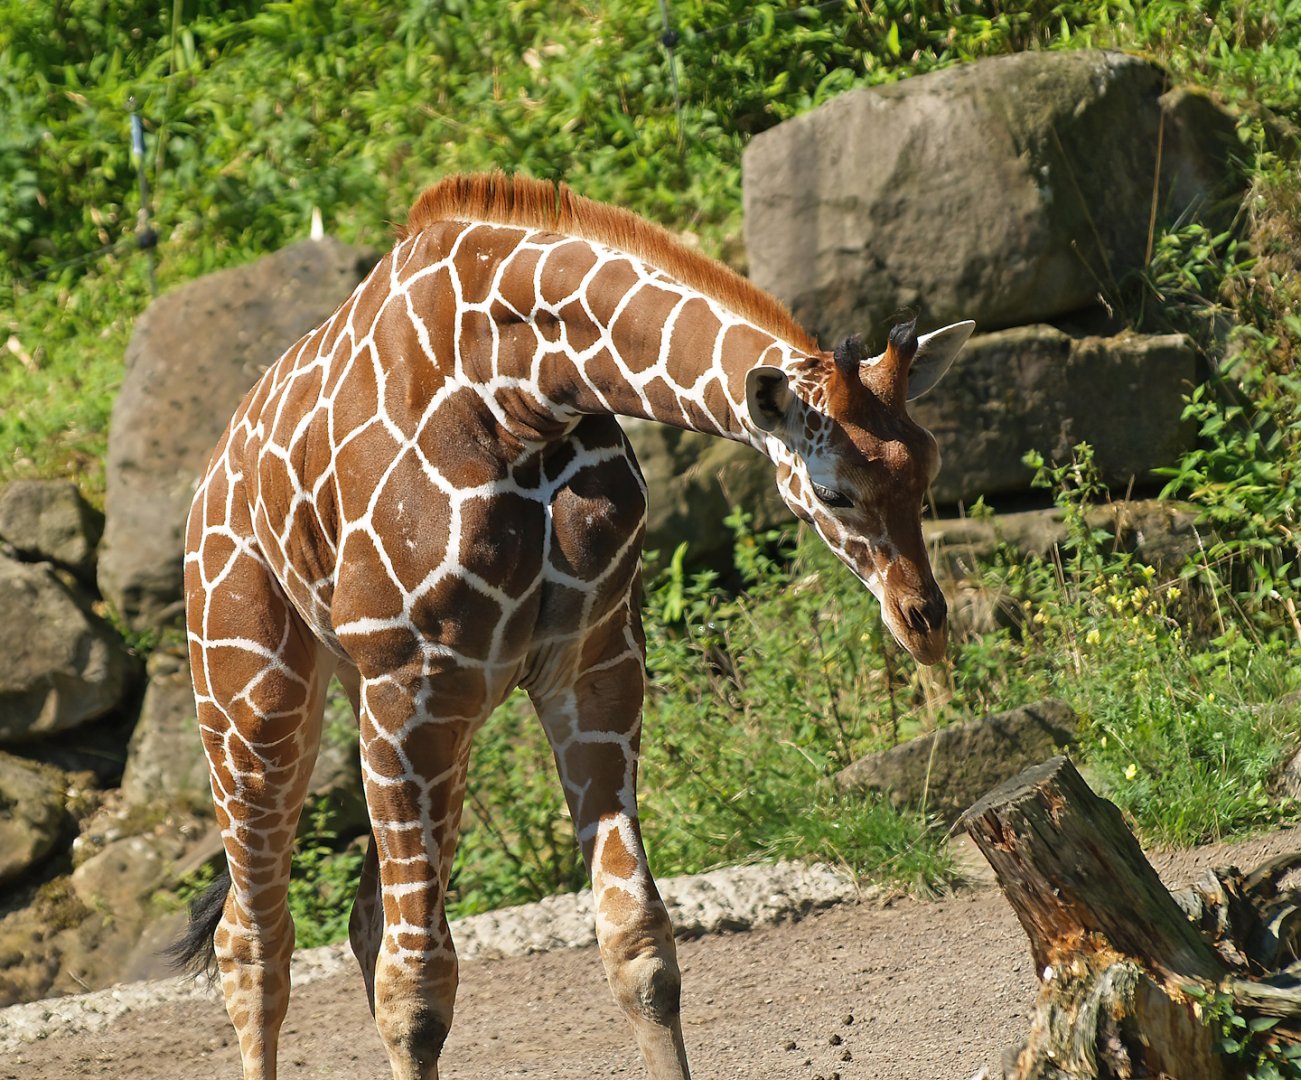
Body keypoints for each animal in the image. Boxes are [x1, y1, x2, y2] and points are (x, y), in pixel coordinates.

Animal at [175, 173, 974, 1080]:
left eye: (928, 466)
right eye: (835, 492)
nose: (923, 623)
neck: (521, 392)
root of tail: (210, 479)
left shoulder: (591, 665)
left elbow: (640, 947)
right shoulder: (411, 681)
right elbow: (416, 993)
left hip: (409, 712)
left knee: (362, 919)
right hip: (256, 699)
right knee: (254, 942)